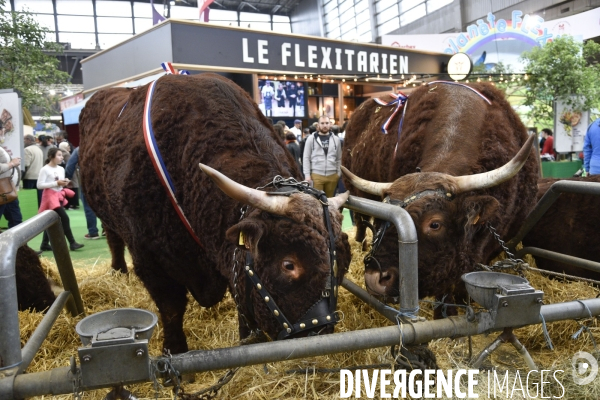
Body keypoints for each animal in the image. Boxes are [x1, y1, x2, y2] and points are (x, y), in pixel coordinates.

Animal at [80, 72, 352, 354]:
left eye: (344, 264)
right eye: (289, 264)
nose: (321, 334)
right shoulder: (149, 260)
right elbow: (171, 309)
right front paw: (174, 349)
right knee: (113, 239)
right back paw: (118, 271)